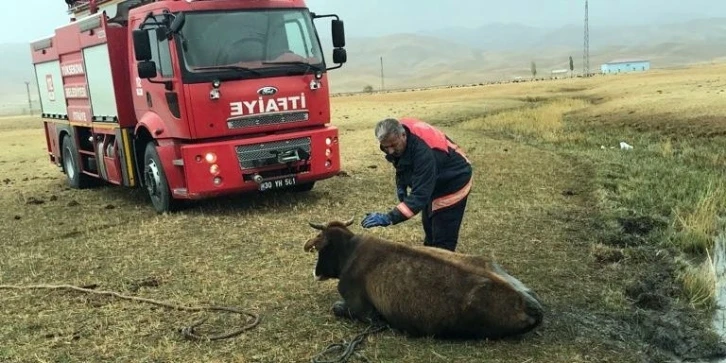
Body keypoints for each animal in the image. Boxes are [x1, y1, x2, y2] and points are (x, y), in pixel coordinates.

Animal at [302, 219, 544, 342]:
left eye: (321, 248)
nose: (315, 273)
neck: (350, 251)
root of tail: (529, 305)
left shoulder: (365, 312)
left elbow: (338, 307)